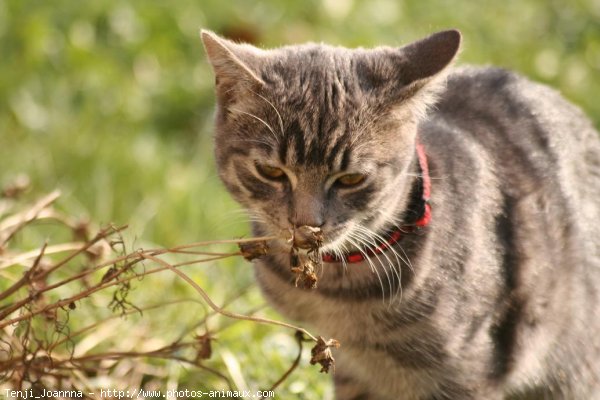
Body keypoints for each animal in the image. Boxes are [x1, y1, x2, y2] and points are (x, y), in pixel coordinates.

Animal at [200, 28, 600, 400]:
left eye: (351, 178)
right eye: (271, 171)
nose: (306, 226)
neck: (336, 292)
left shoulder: (465, 374)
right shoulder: (354, 372)